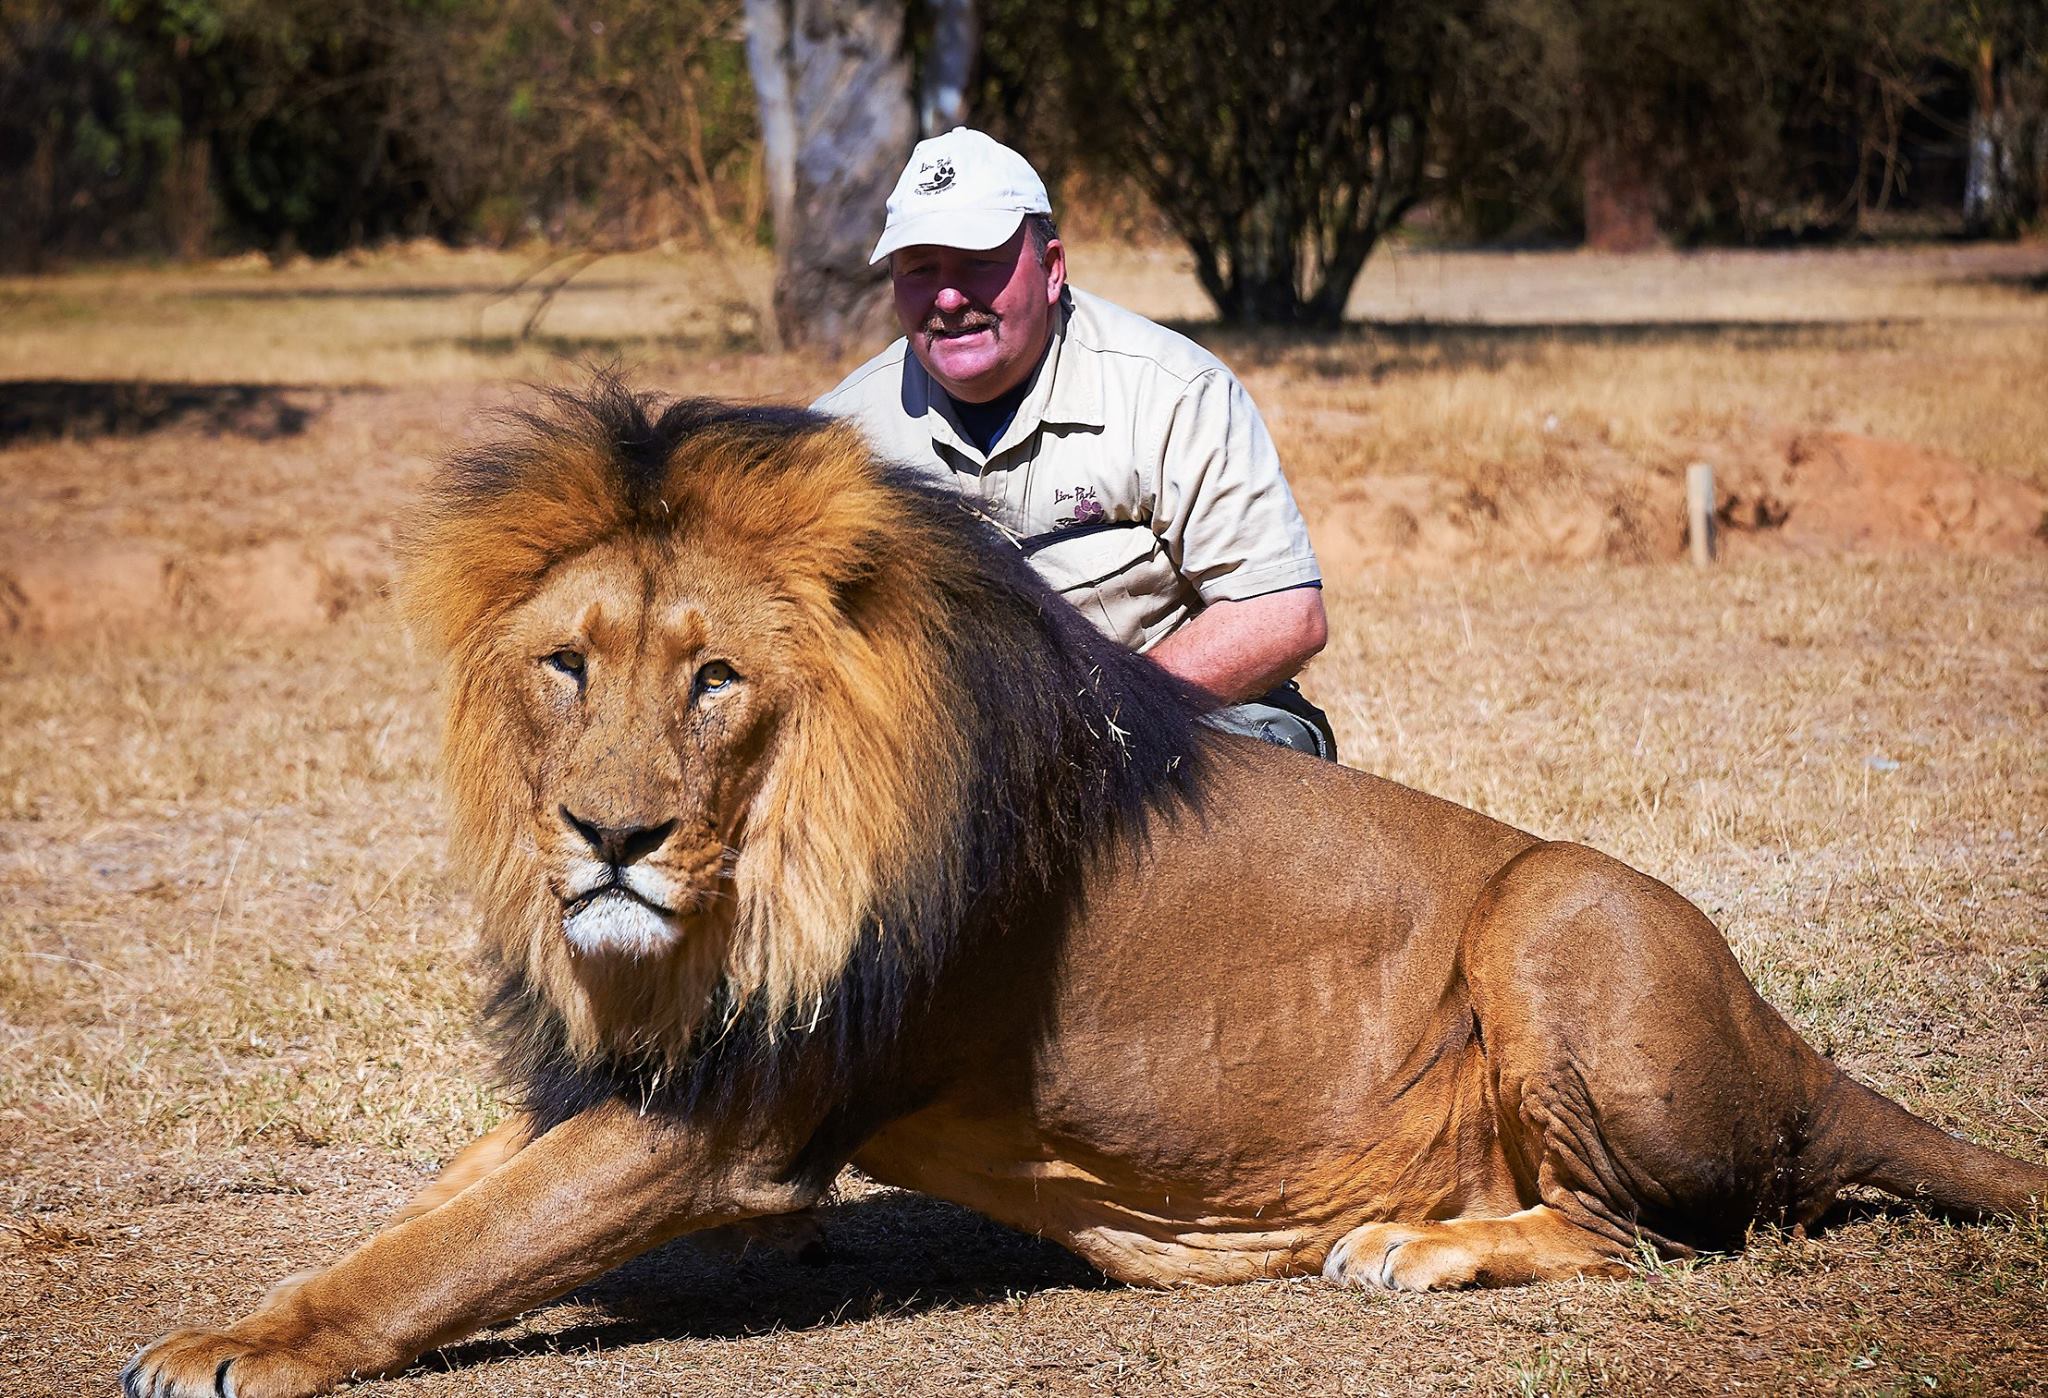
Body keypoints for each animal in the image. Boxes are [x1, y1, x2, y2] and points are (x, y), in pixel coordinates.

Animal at [126, 381, 2048, 1397]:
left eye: (715, 680)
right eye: (565, 666)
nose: (607, 836)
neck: (762, 862)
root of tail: (1789, 1044)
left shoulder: (734, 1114)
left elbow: (448, 1250)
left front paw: (230, 1342)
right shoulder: (639, 1070)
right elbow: (440, 1201)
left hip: (1562, 913)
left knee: (1648, 1229)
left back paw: (1415, 1250)